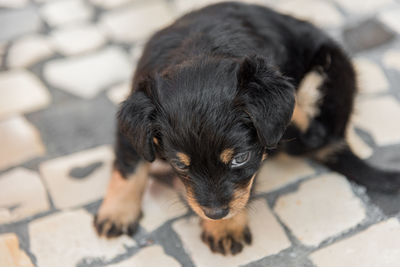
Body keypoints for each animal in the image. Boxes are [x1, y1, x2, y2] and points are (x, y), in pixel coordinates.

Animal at [94, 2, 400, 258]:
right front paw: (116, 214)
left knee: (309, 125)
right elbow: (128, 168)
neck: (201, 48)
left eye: (240, 158)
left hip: (328, 73)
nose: (216, 213)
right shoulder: (133, 127)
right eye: (179, 165)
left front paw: (225, 228)